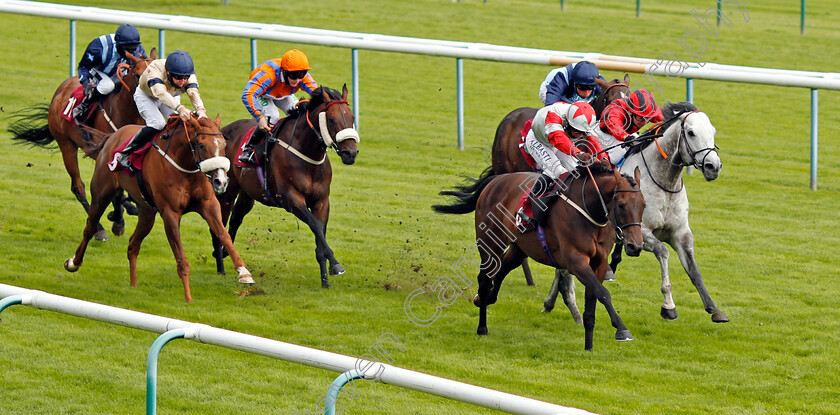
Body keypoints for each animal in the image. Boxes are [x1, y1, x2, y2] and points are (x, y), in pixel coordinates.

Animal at [7, 50, 158, 242]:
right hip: (66, 144)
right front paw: (118, 220)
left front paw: (124, 209)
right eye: (138, 74)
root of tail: (61, 90)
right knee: (78, 187)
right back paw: (100, 229)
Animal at [65, 114, 253, 302]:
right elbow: (181, 257)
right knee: (89, 228)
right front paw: (188, 297)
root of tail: (113, 136)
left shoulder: (209, 205)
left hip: (147, 212)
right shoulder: (170, 213)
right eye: (201, 145)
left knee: (133, 245)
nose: (221, 181)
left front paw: (243, 272)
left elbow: (224, 236)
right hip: (101, 195)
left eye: (224, 145)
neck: (186, 167)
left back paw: (133, 285)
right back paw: (74, 262)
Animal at [212, 85, 360, 290]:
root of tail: (223, 130)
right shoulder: (291, 200)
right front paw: (336, 265)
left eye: (352, 117)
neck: (307, 154)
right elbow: (315, 224)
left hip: (248, 193)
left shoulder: (322, 201)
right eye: (331, 119)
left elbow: (320, 231)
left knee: (236, 217)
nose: (350, 153)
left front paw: (326, 278)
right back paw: (220, 264)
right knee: (220, 222)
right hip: (227, 190)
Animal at [434, 162, 644, 352]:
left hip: (519, 248)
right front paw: (622, 330)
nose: (635, 246)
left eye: (643, 205)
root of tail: (495, 180)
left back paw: (484, 300)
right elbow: (604, 293)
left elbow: (593, 301)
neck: (589, 211)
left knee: (501, 271)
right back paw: (482, 327)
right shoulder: (575, 261)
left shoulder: (599, 263)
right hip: (490, 243)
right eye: (621, 204)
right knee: (485, 280)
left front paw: (589, 347)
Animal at [544, 102, 728, 324]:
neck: (664, 183)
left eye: (713, 132)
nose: (713, 166)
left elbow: (694, 270)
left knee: (562, 267)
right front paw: (669, 306)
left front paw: (714, 308)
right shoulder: (641, 231)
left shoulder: (681, 233)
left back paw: (552, 302)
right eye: (691, 133)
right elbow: (662, 251)